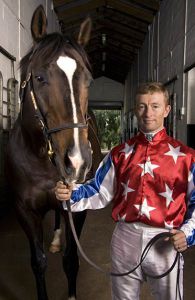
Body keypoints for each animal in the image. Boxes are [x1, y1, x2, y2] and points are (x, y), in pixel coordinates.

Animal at [6, 4, 93, 300]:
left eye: (88, 80)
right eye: (39, 77)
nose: (77, 161)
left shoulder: (77, 207)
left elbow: (72, 260)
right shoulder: (24, 211)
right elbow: (38, 263)